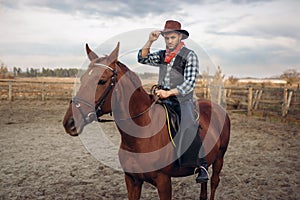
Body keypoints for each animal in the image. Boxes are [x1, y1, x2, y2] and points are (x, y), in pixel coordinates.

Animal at [62, 42, 230, 200]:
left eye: (102, 81)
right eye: (82, 78)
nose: (69, 122)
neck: (141, 134)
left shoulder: (163, 182)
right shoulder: (132, 180)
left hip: (219, 158)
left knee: (214, 182)